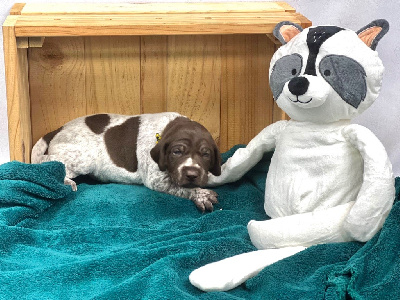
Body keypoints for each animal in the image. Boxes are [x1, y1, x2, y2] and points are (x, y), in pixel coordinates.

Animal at [32, 112, 222, 211]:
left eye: (206, 154)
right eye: (177, 152)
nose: (192, 174)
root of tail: (60, 128)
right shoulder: (156, 179)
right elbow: (180, 187)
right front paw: (200, 194)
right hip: (84, 158)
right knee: (48, 162)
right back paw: (66, 181)